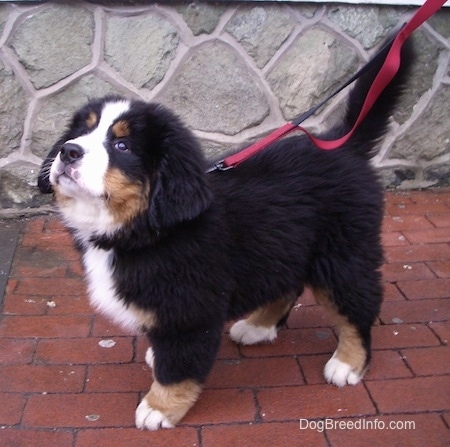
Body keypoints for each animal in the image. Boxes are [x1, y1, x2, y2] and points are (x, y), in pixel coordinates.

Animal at [39, 36, 414, 430]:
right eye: (81, 132)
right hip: (283, 245)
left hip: (342, 255)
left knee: (357, 305)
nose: (68, 151)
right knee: (287, 285)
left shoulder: (190, 308)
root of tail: (344, 145)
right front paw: (157, 358)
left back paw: (348, 363)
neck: (146, 228)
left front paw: (160, 407)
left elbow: (179, 366)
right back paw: (259, 326)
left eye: (121, 145)